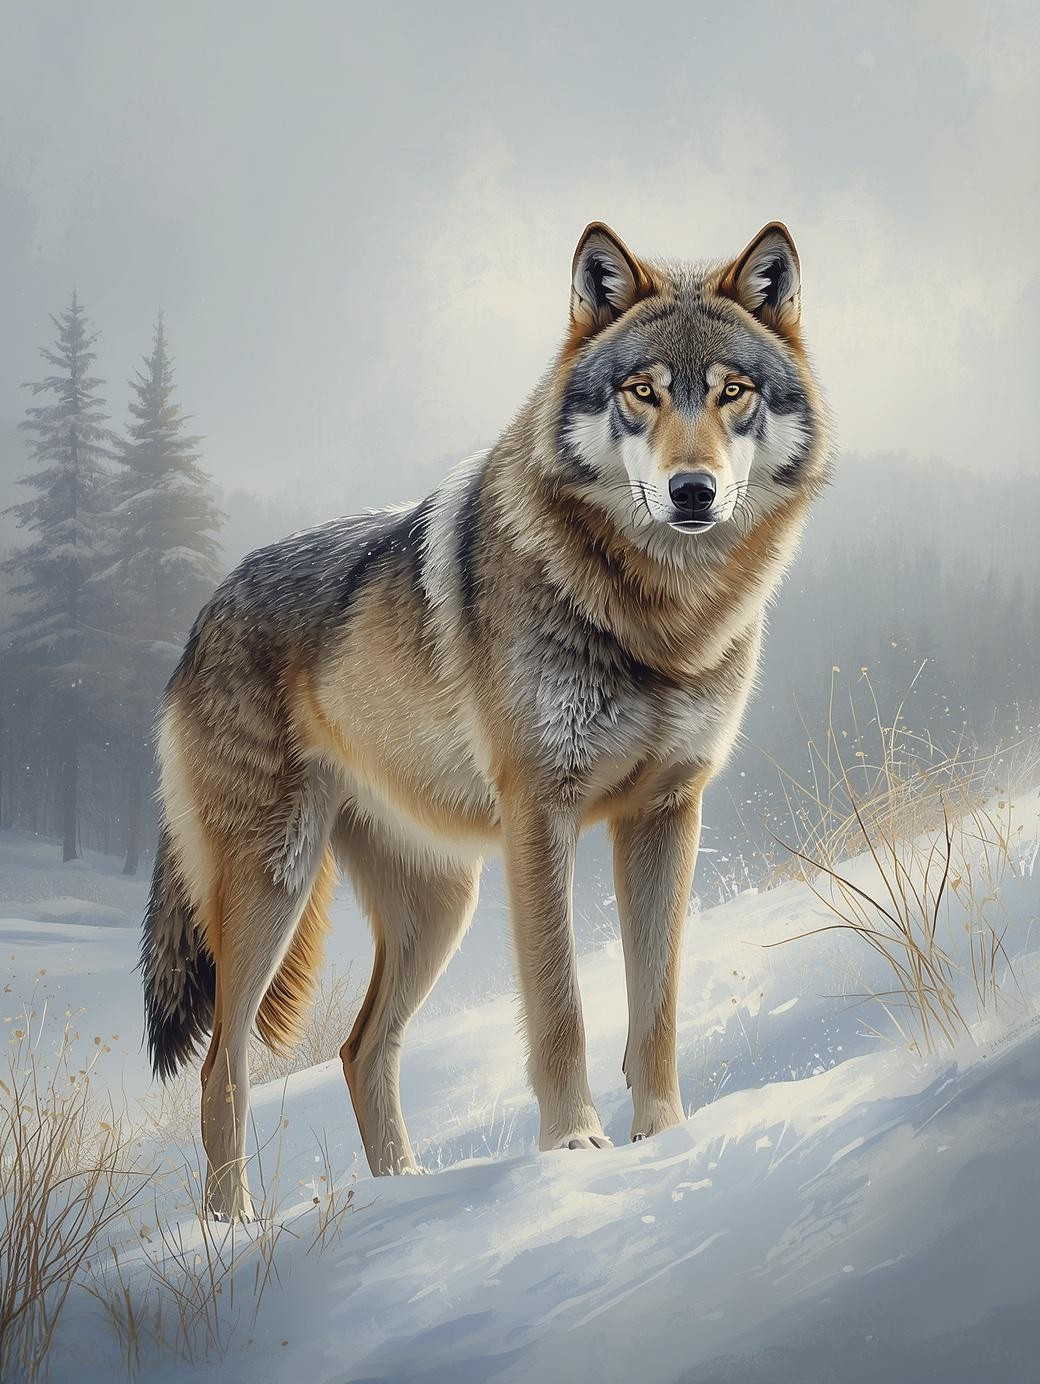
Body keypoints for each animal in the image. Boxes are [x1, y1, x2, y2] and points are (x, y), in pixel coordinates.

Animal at [141, 220, 829, 1220]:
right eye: (642, 392)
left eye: (731, 392)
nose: (693, 491)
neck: (660, 619)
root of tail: (200, 616)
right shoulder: (540, 816)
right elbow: (561, 1005)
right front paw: (574, 1147)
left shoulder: (667, 813)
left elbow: (656, 1004)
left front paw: (665, 1137)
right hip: (274, 883)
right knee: (221, 1070)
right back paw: (230, 1229)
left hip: (440, 904)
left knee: (360, 1050)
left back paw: (404, 1193)